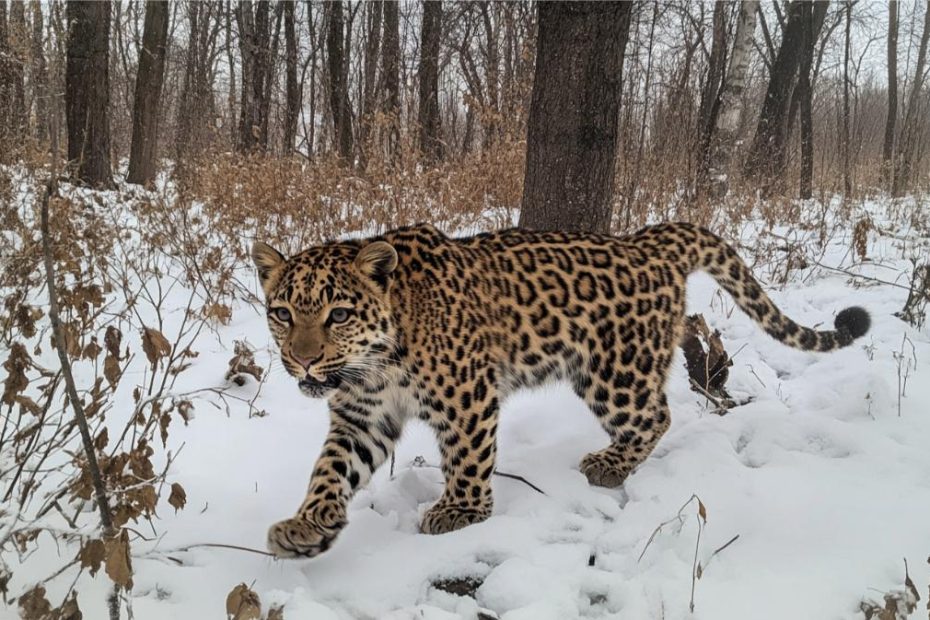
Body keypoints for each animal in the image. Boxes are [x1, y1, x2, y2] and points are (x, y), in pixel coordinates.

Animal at [250, 222, 868, 556]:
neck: (377, 362)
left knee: (657, 415)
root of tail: (649, 241)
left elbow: (467, 457)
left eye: (338, 314)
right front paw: (308, 527)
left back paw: (610, 465)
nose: (303, 361)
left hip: (615, 370)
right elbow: (331, 470)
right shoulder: (363, 416)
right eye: (282, 313)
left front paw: (462, 512)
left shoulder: (468, 395)